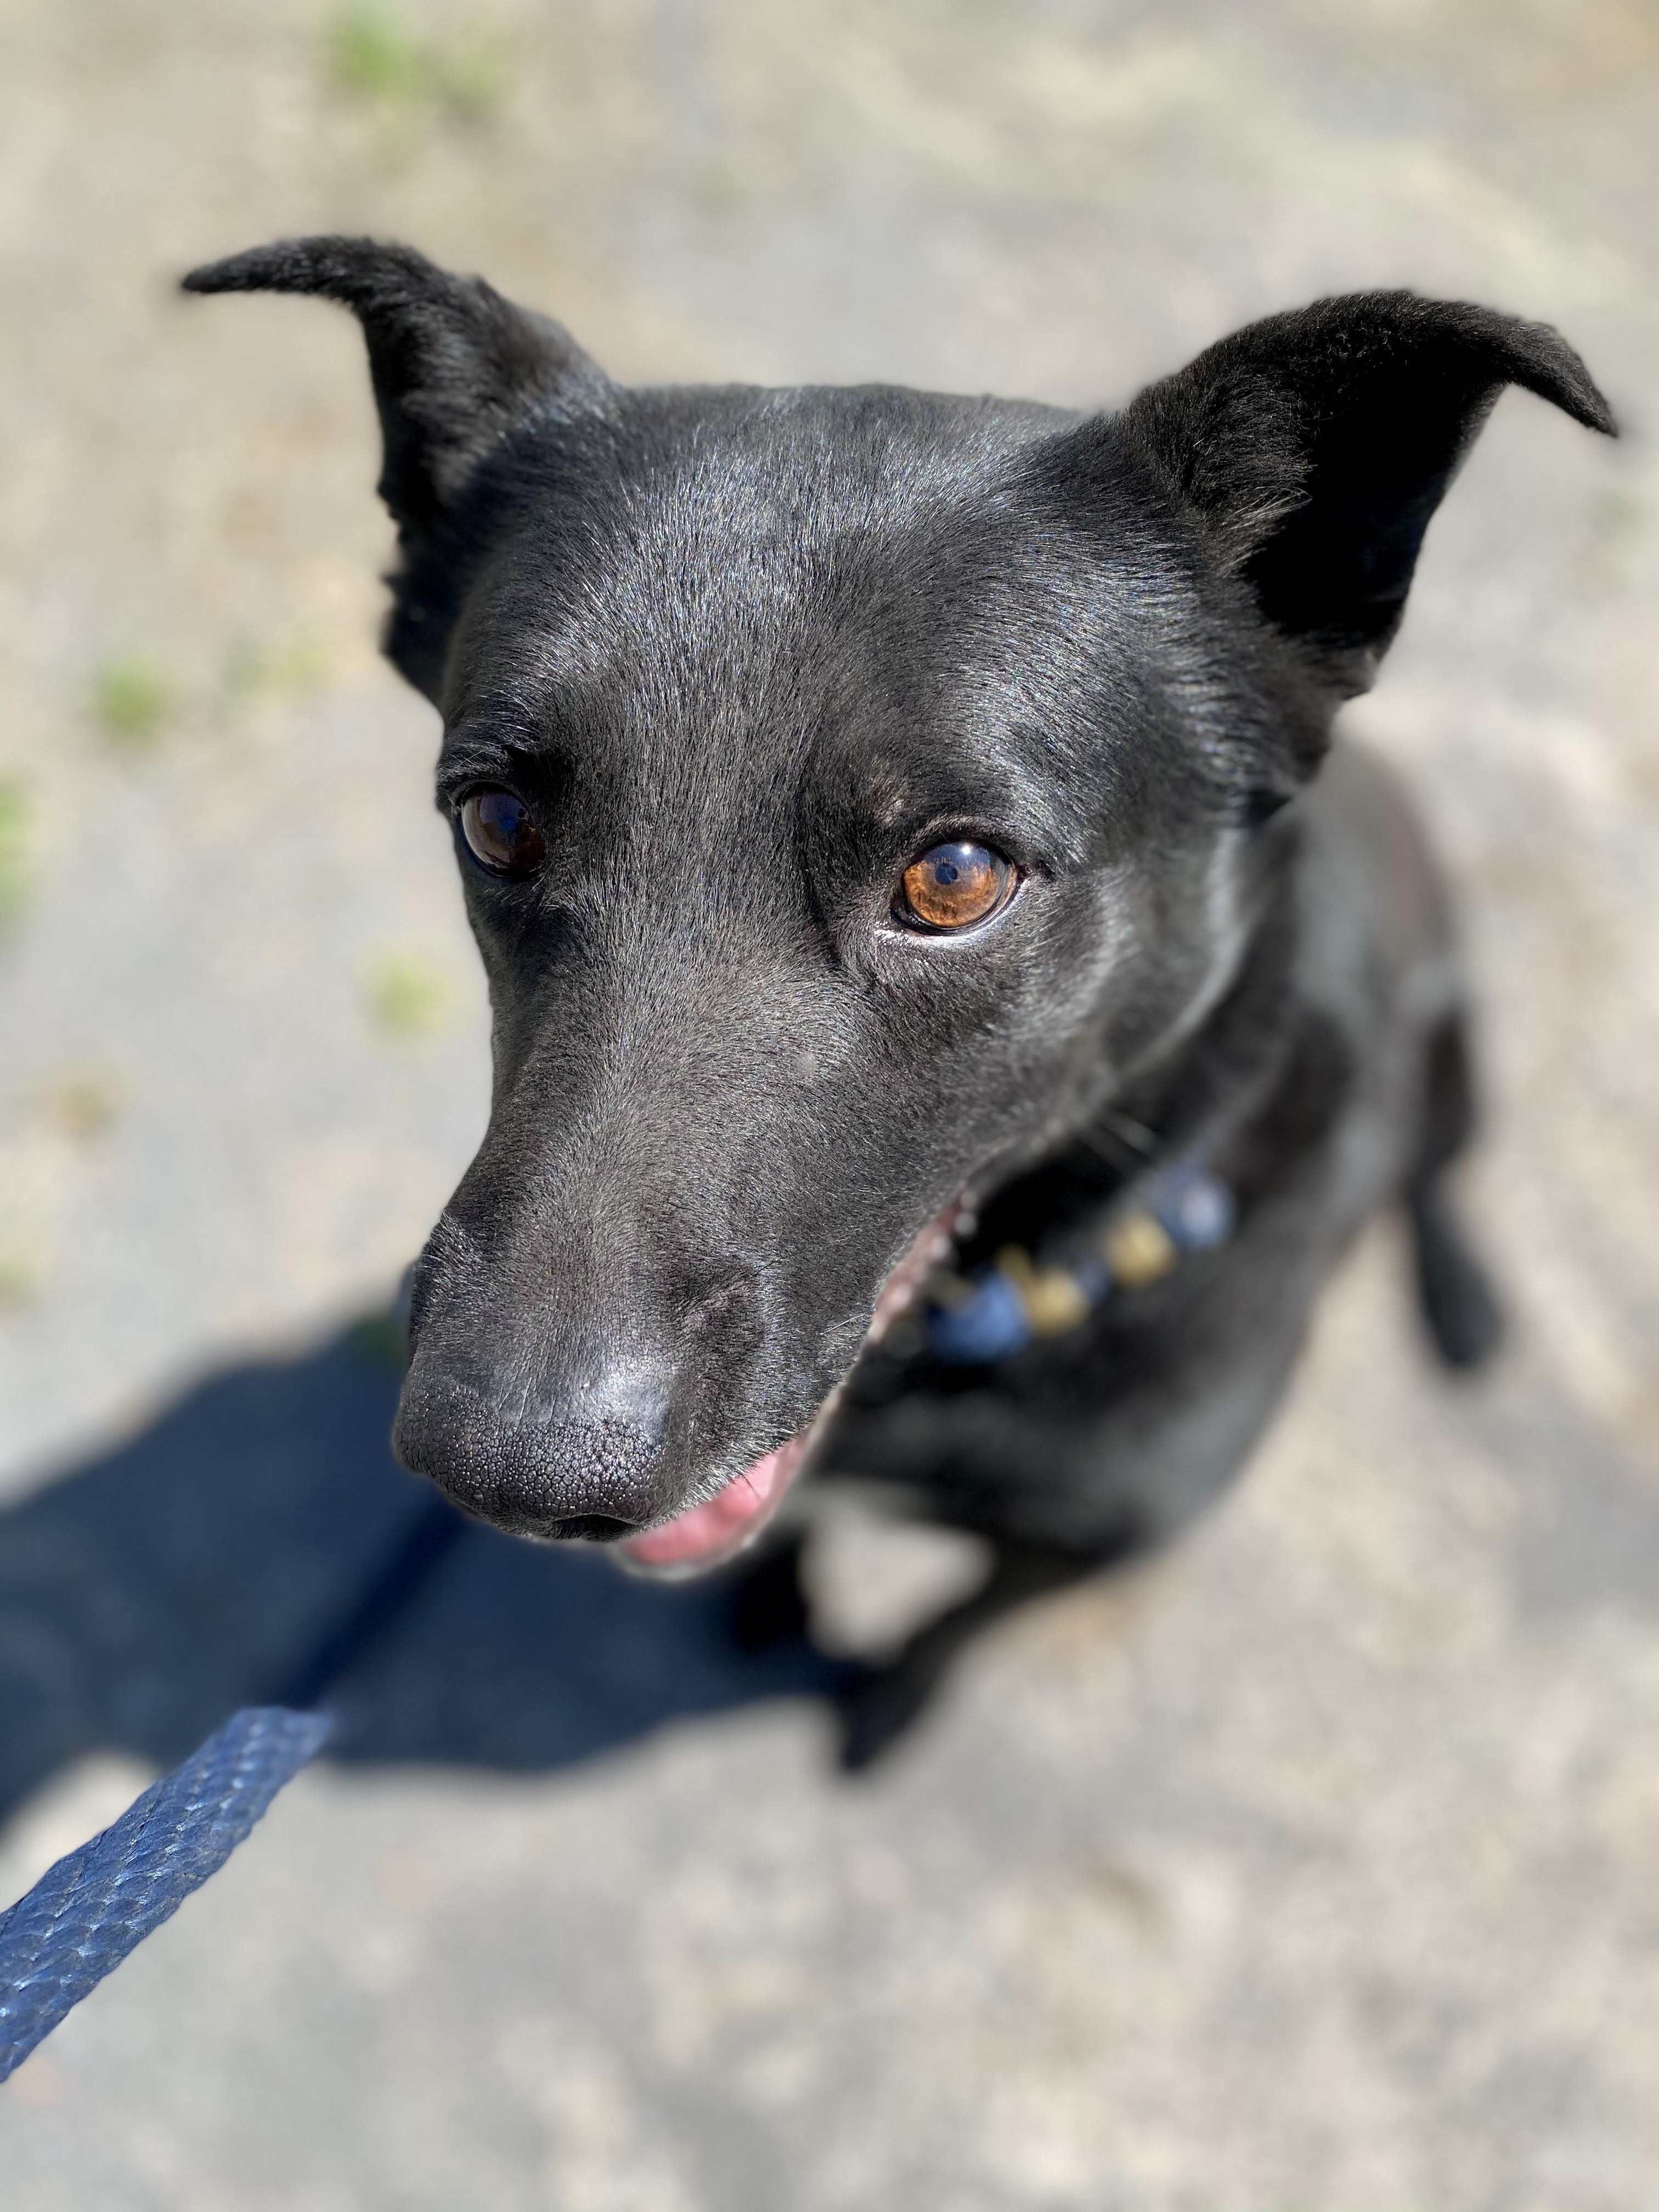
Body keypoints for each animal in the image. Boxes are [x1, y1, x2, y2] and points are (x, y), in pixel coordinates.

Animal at [188, 242, 1619, 1760]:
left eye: (953, 878)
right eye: (498, 822)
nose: (508, 1470)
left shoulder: (1083, 1542)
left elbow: (960, 1623)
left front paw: (890, 1706)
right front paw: (782, 1607)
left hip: (1455, 1050)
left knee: (1440, 1169)